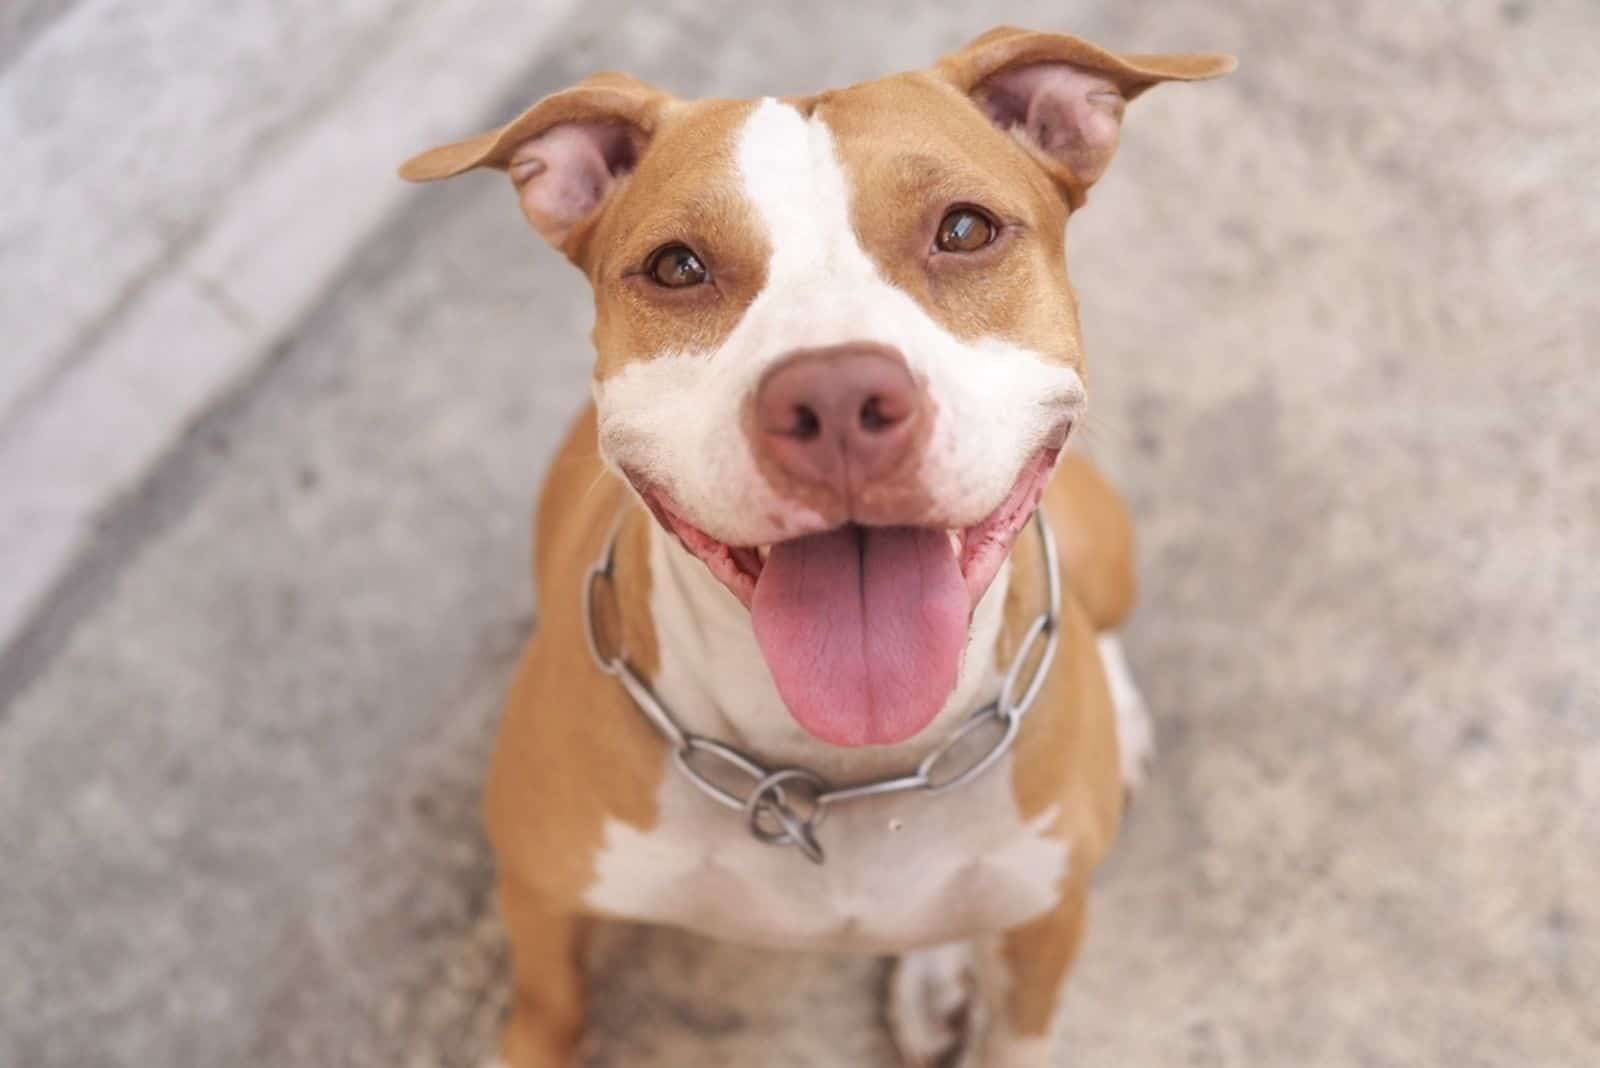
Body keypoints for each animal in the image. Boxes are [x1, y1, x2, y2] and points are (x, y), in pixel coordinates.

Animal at [400, 24, 1235, 1068]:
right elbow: (548, 1013)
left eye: (965, 230)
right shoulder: (540, 903)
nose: (836, 397)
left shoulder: (1048, 931)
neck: (830, 774)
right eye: (678, 266)